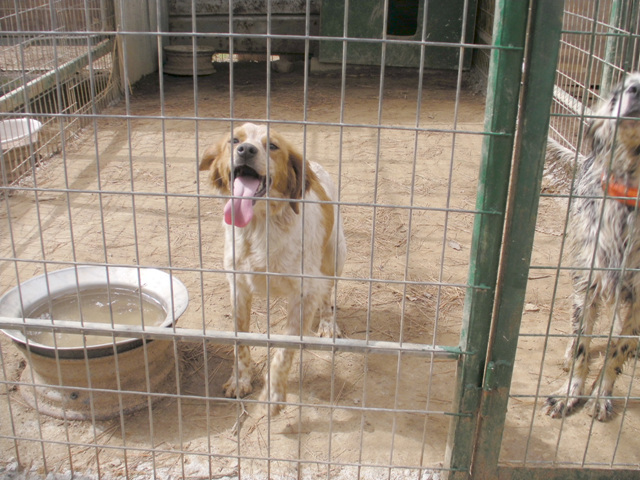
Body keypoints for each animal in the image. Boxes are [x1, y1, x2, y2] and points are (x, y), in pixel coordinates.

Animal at [199, 123, 347, 414]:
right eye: (234, 140)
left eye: (273, 146)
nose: (246, 150)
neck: (260, 226)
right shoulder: (238, 288)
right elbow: (241, 343)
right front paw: (240, 380)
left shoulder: (304, 293)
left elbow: (284, 350)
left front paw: (274, 394)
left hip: (334, 258)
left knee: (327, 294)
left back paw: (327, 323)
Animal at [543, 73, 640, 421]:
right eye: (623, 88)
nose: (635, 91)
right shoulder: (590, 279)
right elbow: (584, 345)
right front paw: (569, 393)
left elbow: (618, 349)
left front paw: (600, 395)